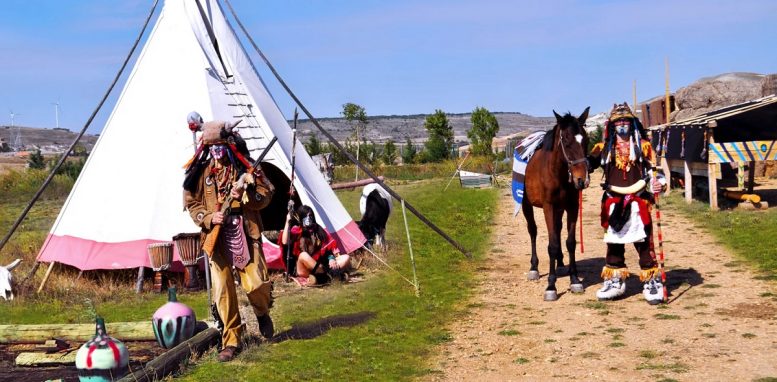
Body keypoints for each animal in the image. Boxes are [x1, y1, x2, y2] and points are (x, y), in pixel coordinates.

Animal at [524, 107, 592, 302]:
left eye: (586, 139)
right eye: (566, 141)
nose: (581, 180)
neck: (557, 173)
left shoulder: (572, 207)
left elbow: (570, 242)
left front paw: (575, 279)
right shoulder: (548, 207)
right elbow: (552, 245)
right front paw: (551, 286)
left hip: (560, 209)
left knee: (558, 228)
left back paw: (561, 263)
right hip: (526, 205)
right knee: (533, 231)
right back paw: (534, 268)